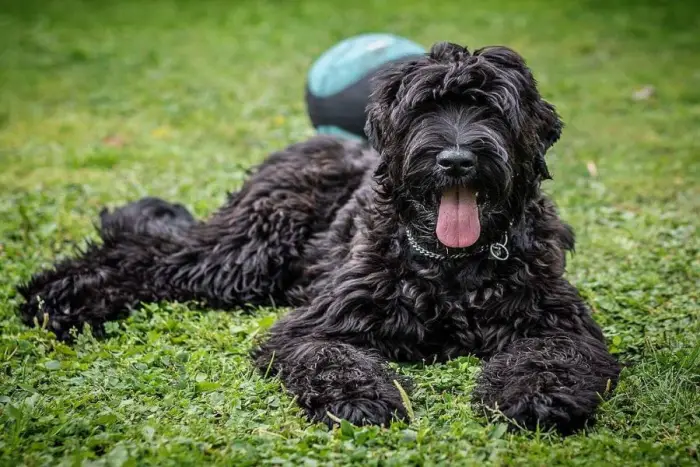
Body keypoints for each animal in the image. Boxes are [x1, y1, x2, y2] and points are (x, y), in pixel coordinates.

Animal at [15, 43, 616, 436]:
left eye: (492, 108)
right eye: (424, 108)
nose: (455, 159)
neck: (451, 267)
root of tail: (309, 145)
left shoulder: (558, 321)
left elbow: (554, 355)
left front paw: (537, 396)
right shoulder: (318, 323)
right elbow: (331, 357)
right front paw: (360, 399)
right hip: (246, 252)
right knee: (149, 253)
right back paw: (55, 296)